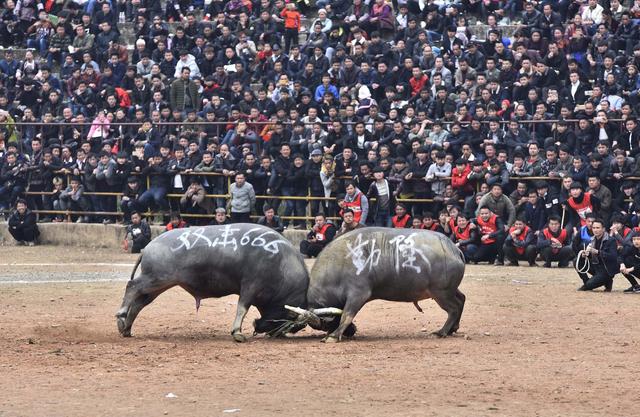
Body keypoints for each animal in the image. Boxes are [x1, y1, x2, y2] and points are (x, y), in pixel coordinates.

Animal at [118, 223, 312, 340]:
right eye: (290, 317)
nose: (262, 329)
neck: (282, 263)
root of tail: (148, 247)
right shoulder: (250, 286)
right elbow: (242, 308)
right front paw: (237, 333)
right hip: (156, 279)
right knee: (132, 286)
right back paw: (121, 317)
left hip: (158, 284)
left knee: (139, 303)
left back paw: (126, 328)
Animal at [304, 228, 464, 342]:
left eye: (325, 324)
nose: (353, 331)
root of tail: (453, 249)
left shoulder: (358, 294)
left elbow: (347, 315)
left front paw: (333, 335)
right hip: (450, 290)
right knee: (462, 299)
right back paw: (453, 328)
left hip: (441, 293)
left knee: (454, 308)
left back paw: (442, 332)